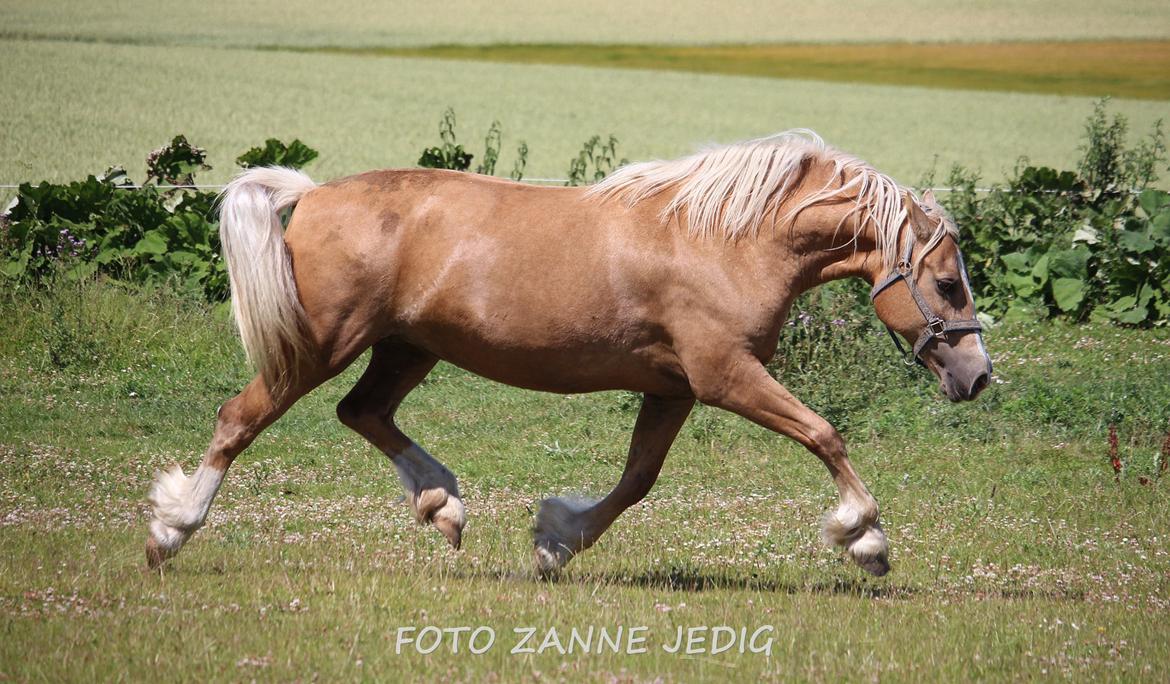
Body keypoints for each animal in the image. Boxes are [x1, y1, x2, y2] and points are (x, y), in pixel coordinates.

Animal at [143, 129, 987, 575]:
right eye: (948, 284)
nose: (977, 377)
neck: (725, 239)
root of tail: (312, 194)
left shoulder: (675, 388)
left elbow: (638, 480)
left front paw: (555, 541)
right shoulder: (726, 376)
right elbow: (825, 434)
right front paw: (865, 539)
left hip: (405, 348)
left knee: (364, 413)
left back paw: (444, 505)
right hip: (321, 344)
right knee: (241, 418)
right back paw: (171, 530)